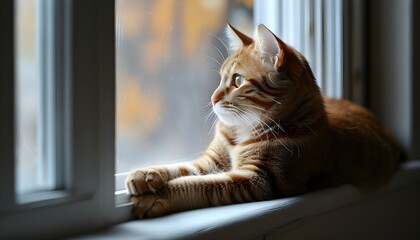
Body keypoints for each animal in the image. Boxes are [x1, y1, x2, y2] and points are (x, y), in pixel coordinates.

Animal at [126, 23, 402, 218]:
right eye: (220, 78)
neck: (240, 133)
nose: (212, 98)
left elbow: (198, 185)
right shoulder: (212, 161)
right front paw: (146, 172)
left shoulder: (259, 179)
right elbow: (183, 168)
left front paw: (157, 196)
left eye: (237, 81)